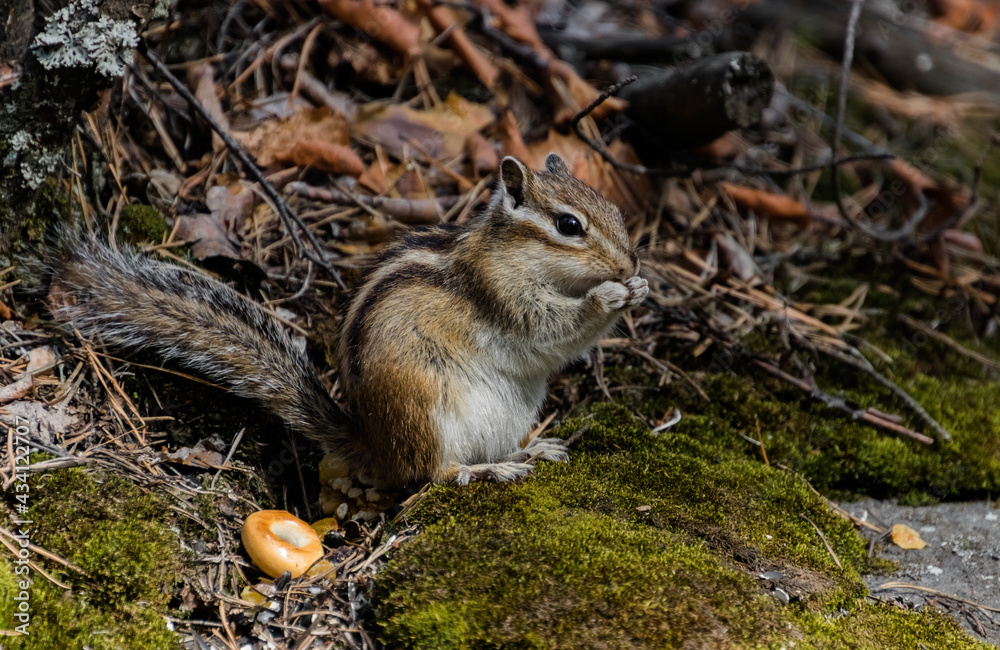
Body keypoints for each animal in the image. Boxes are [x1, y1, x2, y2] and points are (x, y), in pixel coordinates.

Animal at [48, 154, 648, 489]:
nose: (629, 264)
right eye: (569, 225)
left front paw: (636, 288)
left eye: (616, 212)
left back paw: (528, 451)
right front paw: (609, 296)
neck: (514, 252)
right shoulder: (502, 293)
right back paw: (486, 470)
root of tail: (376, 444)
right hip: (425, 409)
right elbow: (550, 329)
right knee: (433, 475)